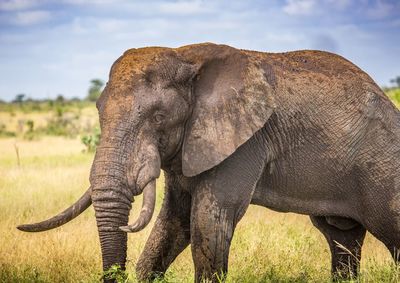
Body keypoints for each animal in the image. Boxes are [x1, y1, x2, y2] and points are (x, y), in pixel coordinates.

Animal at [17, 43, 400, 282]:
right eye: (98, 111)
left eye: (158, 118)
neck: (185, 56)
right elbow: (174, 222)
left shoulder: (245, 141)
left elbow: (209, 221)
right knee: (342, 238)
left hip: (382, 166)